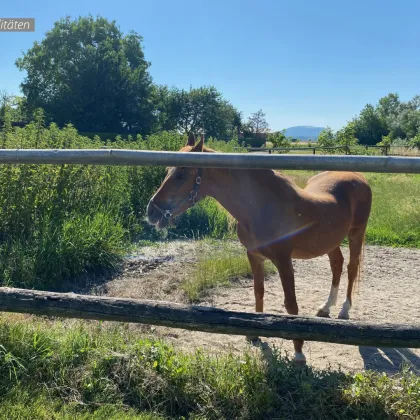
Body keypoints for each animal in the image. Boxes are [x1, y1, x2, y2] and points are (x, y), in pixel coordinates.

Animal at [147, 132, 370, 364]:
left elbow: (291, 304)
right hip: (330, 241)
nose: (151, 212)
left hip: (356, 234)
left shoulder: (283, 260)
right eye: (168, 170)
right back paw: (325, 308)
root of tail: (358, 176)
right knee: (337, 264)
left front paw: (299, 353)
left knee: (352, 268)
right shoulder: (254, 256)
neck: (261, 209)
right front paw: (254, 335)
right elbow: (258, 292)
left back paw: (344, 310)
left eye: (181, 174)